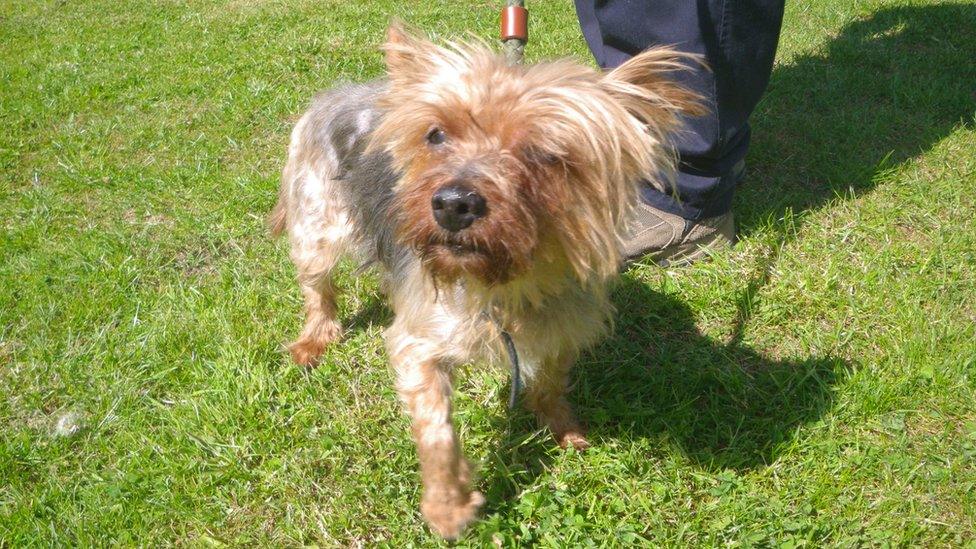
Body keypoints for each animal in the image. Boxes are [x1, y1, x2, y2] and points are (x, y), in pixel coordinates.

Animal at [268, 24, 700, 536]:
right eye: (436, 135)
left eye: (546, 153)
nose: (453, 203)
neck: (504, 286)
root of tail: (336, 94)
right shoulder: (421, 343)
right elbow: (437, 429)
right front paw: (447, 505)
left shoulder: (564, 322)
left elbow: (551, 379)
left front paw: (562, 426)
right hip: (317, 218)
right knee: (318, 285)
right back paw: (315, 339)